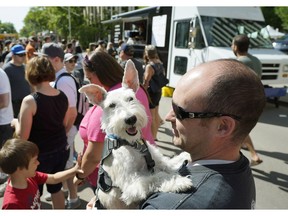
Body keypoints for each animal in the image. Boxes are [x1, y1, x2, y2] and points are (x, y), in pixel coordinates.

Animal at [79, 60, 191, 208]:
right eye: (112, 105)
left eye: (130, 98)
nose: (131, 119)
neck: (131, 144)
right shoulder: (132, 184)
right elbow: (157, 177)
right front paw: (180, 182)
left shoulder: (156, 160)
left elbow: (167, 163)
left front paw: (184, 156)